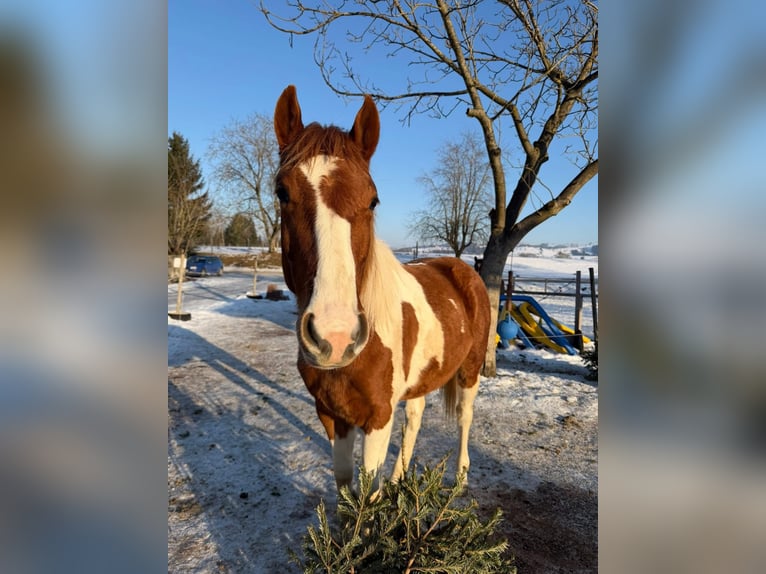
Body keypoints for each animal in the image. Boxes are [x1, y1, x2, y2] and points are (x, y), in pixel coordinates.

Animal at [272, 85, 491, 493]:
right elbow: (345, 489)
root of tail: (460, 269)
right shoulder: (332, 415)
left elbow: (367, 495)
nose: (335, 336)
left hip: (469, 372)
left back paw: (459, 478)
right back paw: (399, 478)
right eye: (282, 193)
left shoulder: (377, 418)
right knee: (415, 418)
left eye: (373, 199)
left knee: (464, 418)